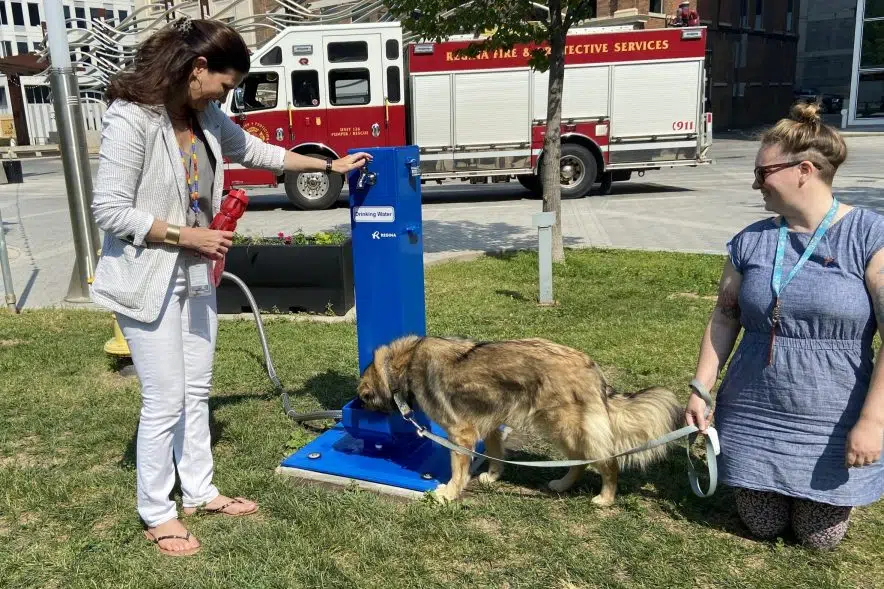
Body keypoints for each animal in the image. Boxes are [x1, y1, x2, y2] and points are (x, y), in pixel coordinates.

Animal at [356, 338, 680, 504]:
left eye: (363, 399)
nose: (357, 410)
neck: (405, 363)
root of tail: (592, 368)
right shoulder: (490, 422)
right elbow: (495, 452)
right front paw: (493, 475)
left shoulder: (461, 434)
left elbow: (458, 470)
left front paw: (449, 492)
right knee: (579, 461)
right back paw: (562, 484)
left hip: (566, 427)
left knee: (606, 461)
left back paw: (605, 498)